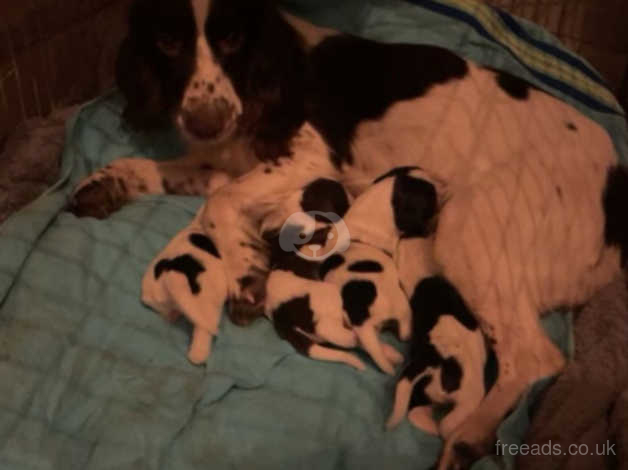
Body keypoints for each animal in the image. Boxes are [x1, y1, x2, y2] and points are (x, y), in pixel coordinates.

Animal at [140, 210, 226, 368]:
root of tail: (173, 273)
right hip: (209, 304)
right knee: (203, 332)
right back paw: (198, 356)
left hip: (153, 295)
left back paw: (173, 315)